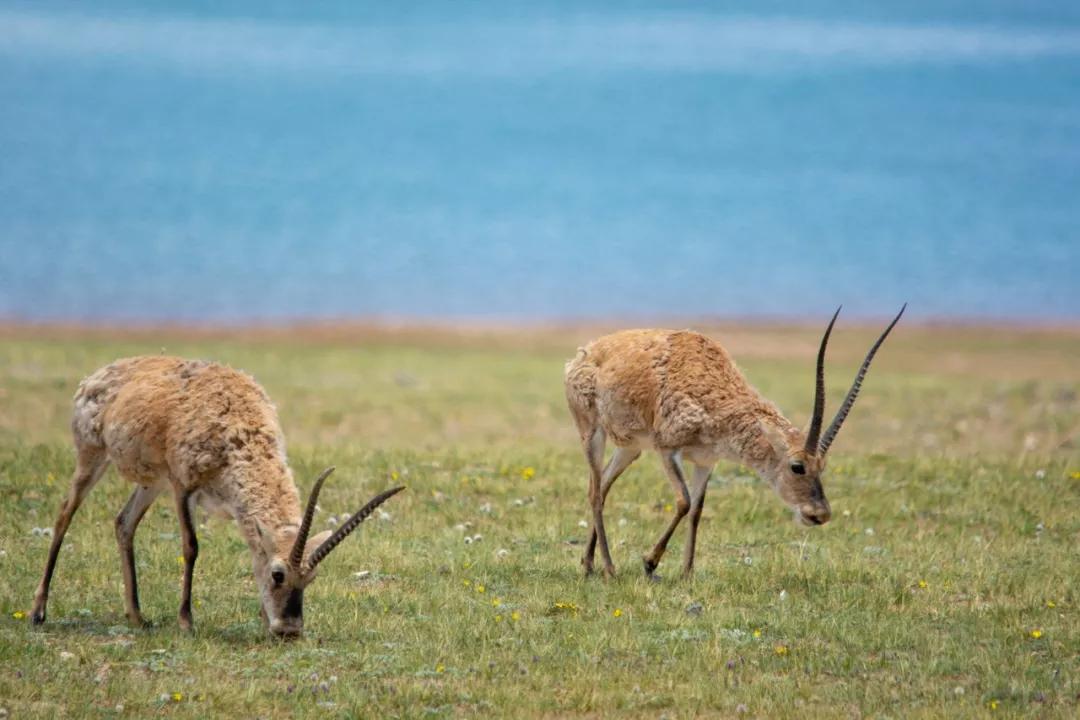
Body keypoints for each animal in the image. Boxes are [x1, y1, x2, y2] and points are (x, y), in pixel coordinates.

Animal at [33, 358, 406, 639]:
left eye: (310, 579)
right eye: (278, 575)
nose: (289, 630)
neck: (238, 431)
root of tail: (96, 376)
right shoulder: (183, 487)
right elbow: (191, 547)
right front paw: (186, 621)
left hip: (152, 483)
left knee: (123, 523)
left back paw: (137, 617)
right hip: (92, 456)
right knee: (64, 513)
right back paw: (38, 612)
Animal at [565, 306, 902, 578]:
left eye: (823, 466)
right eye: (797, 466)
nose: (819, 514)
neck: (714, 388)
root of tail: (583, 354)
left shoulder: (705, 461)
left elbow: (697, 510)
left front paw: (687, 573)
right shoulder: (667, 450)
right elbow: (683, 501)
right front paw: (650, 562)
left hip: (630, 448)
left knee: (603, 486)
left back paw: (589, 563)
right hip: (592, 433)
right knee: (595, 491)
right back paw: (609, 569)